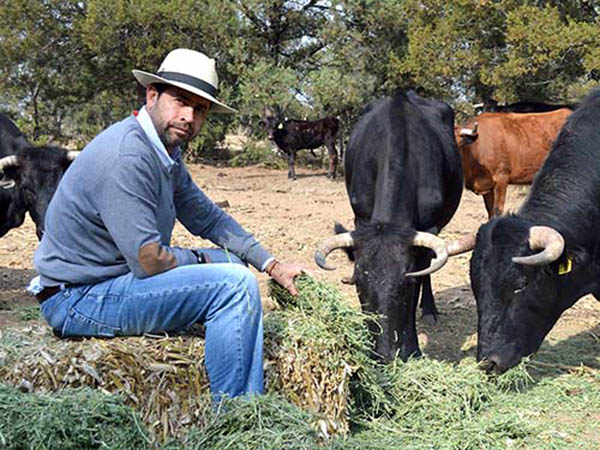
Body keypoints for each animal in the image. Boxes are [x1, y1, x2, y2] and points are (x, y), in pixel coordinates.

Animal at [314, 92, 474, 362]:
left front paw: (412, 348)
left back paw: (429, 310)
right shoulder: (361, 218)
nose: (383, 353)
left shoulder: (427, 230)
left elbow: (419, 279)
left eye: (404, 287)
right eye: (358, 285)